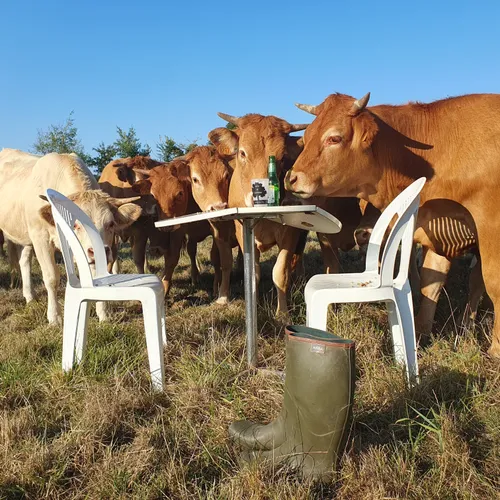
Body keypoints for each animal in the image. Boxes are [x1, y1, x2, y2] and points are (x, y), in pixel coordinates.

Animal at [0, 148, 143, 324]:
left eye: (110, 224)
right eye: (75, 225)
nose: (99, 251)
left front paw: (103, 313)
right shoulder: (40, 238)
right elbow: (51, 277)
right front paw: (54, 317)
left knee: (24, 261)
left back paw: (30, 297)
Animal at [209, 113, 362, 316]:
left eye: (282, 157)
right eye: (242, 153)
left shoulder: (289, 232)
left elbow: (280, 273)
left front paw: (282, 314)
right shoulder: (242, 230)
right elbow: (253, 273)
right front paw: (255, 307)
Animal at [286, 92, 500, 358]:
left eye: (334, 138)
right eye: (305, 138)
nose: (291, 178)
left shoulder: (490, 227)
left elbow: (493, 283)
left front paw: (496, 349)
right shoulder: (438, 231)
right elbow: (432, 283)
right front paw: (420, 333)